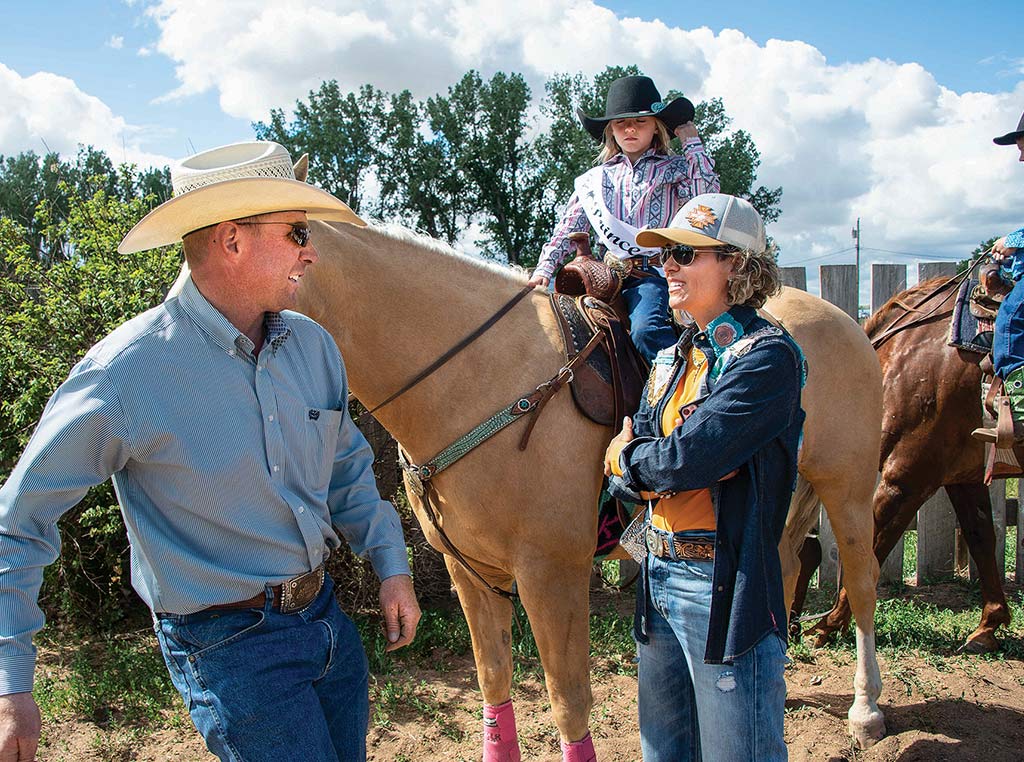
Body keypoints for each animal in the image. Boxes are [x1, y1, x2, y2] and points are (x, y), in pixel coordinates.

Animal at [282, 219, 888, 749]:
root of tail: (845, 319)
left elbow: (568, 702)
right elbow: (494, 683)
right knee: (781, 568)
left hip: (849, 487)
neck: (476, 380)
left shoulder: (551, 573)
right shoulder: (470, 571)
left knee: (861, 582)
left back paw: (867, 709)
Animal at [802, 276, 1011, 651]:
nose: (791, 624)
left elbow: (870, 553)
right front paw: (989, 624)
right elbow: (981, 536)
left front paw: (830, 624)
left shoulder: (907, 479)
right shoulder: (961, 477)